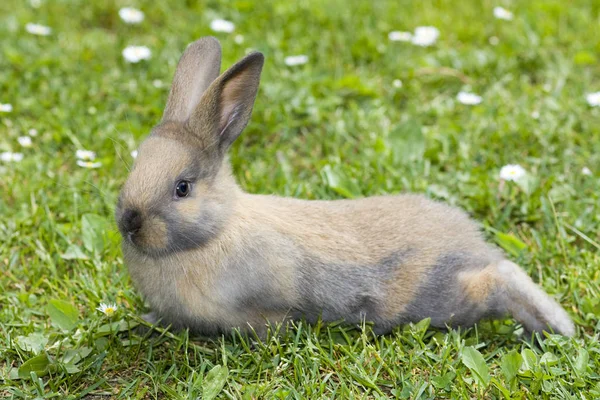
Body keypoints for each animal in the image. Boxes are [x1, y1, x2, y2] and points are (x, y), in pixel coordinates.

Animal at [115, 36, 576, 338]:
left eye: (182, 188)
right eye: (134, 165)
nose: (129, 222)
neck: (215, 231)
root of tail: (473, 243)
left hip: (437, 299)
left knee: (500, 278)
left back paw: (555, 327)